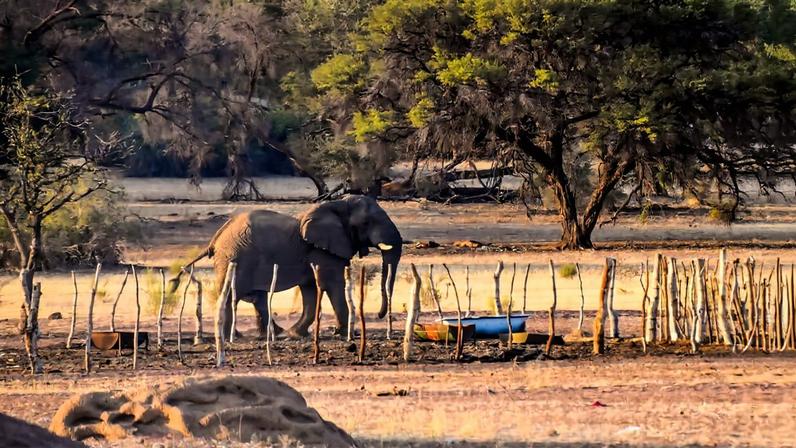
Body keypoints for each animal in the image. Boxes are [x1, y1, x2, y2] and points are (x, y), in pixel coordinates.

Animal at [168, 195, 402, 339]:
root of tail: (215, 239)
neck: (337, 204)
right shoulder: (321, 250)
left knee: (258, 298)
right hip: (235, 259)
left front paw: (297, 334)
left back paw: (273, 334)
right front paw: (345, 334)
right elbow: (331, 284)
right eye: (366, 223)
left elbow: (310, 289)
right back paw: (232, 337)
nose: (380, 315)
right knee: (232, 296)